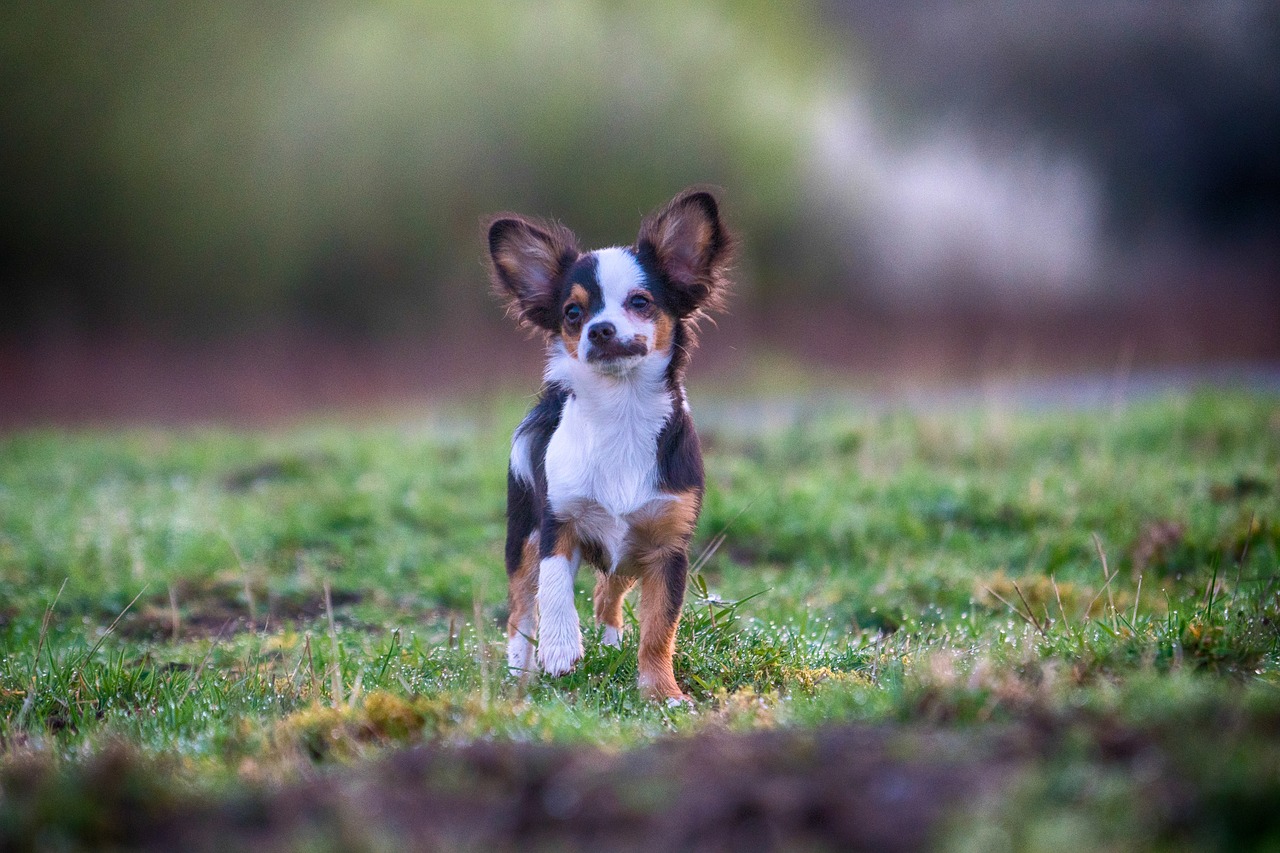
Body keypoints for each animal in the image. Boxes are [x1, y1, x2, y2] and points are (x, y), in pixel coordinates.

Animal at [486, 184, 732, 696]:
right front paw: (560, 649)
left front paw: (662, 693)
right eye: (572, 313)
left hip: (630, 550)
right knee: (521, 609)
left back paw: (611, 642)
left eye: (640, 302)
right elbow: (554, 588)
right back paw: (521, 673)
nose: (599, 329)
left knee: (607, 591)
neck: (620, 412)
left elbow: (659, 630)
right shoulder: (557, 523)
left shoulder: (666, 550)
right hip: (522, 536)